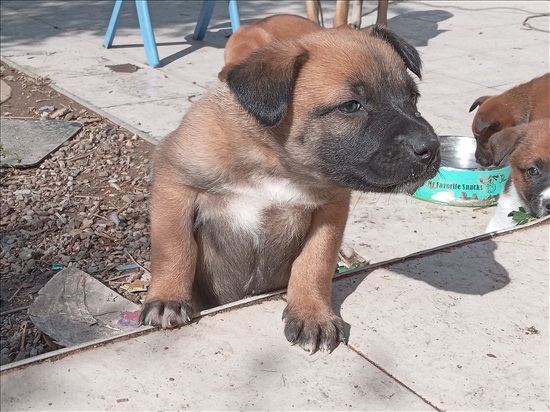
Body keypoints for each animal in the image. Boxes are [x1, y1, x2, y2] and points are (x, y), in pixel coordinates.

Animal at [140, 26, 442, 354]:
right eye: (350, 106)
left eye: (413, 97)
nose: (431, 149)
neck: (277, 164)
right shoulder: (174, 181)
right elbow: (174, 247)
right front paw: (167, 298)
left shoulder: (331, 208)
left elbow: (315, 262)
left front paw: (312, 314)